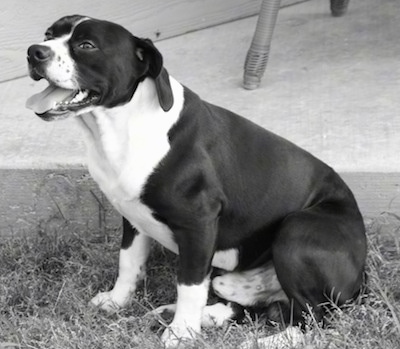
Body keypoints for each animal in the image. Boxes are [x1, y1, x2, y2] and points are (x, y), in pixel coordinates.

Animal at [26, 14, 368, 346]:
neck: (121, 127)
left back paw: (259, 341)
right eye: (47, 34)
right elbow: (129, 263)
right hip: (235, 275)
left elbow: (188, 285)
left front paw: (182, 332)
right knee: (256, 304)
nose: (34, 51)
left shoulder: (198, 224)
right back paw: (195, 314)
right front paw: (117, 301)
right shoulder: (131, 216)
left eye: (87, 45)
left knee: (312, 317)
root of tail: (359, 279)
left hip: (296, 229)